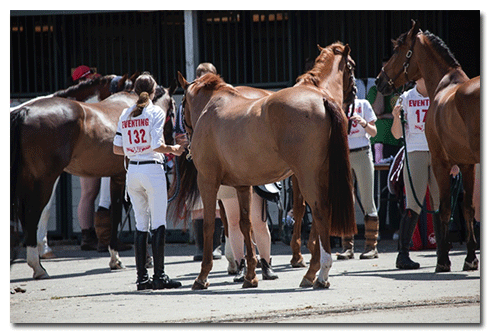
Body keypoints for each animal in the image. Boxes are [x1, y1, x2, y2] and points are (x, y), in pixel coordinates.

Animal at [11, 79, 178, 278]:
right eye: (173, 112)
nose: (169, 148)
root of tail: (24, 112)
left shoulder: (116, 176)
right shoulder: (123, 177)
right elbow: (122, 215)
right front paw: (121, 259)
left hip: (27, 179)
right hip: (44, 180)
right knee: (33, 213)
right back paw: (38, 266)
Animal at [175, 41, 356, 290]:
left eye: (182, 103)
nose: (354, 92)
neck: (211, 107)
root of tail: (321, 99)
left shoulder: (208, 181)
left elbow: (210, 224)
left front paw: (202, 277)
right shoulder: (242, 186)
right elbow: (245, 225)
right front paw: (250, 276)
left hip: (308, 176)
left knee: (320, 212)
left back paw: (318, 274)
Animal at [378, 20, 480, 272]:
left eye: (397, 50)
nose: (379, 81)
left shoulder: (440, 162)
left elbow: (443, 208)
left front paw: (443, 260)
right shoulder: (467, 164)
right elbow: (467, 208)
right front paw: (470, 258)